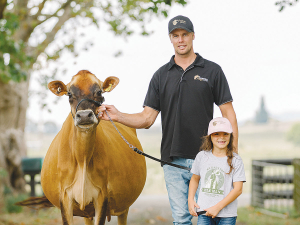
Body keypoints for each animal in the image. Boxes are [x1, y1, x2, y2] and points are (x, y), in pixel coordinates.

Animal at [41, 69, 146, 224]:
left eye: (99, 92)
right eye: (69, 94)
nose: (84, 115)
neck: (82, 159)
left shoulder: (102, 196)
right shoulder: (65, 197)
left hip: (124, 206)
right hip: (87, 211)